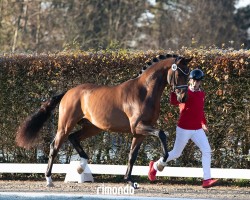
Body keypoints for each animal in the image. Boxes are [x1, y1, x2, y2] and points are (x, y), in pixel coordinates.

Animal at [16, 53, 191, 188]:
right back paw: (49, 179)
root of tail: (68, 92)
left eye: (189, 74)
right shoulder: (139, 127)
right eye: (180, 73)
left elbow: (132, 155)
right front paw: (161, 164)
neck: (144, 92)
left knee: (73, 138)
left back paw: (81, 166)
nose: (183, 98)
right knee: (55, 146)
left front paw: (130, 180)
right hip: (66, 125)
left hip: (93, 127)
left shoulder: (139, 133)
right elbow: (161, 134)